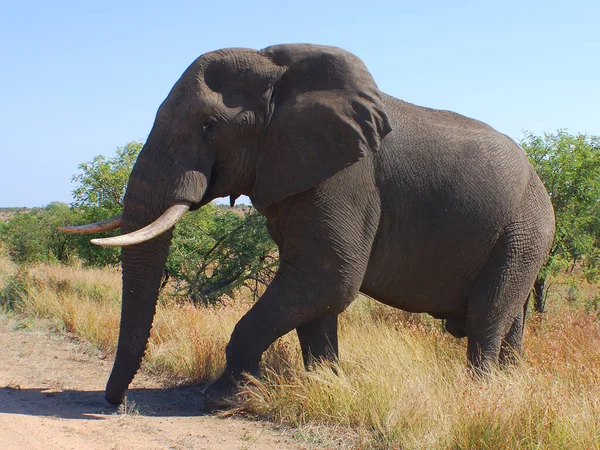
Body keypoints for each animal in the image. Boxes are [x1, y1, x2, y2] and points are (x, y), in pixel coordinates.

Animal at [61, 44, 552, 406]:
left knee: (487, 316)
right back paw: (511, 386)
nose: (116, 403)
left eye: (209, 126)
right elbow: (316, 295)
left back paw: (483, 396)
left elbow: (326, 277)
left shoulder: (346, 178)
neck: (277, 72)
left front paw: (221, 399)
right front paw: (326, 386)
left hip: (526, 229)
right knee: (509, 318)